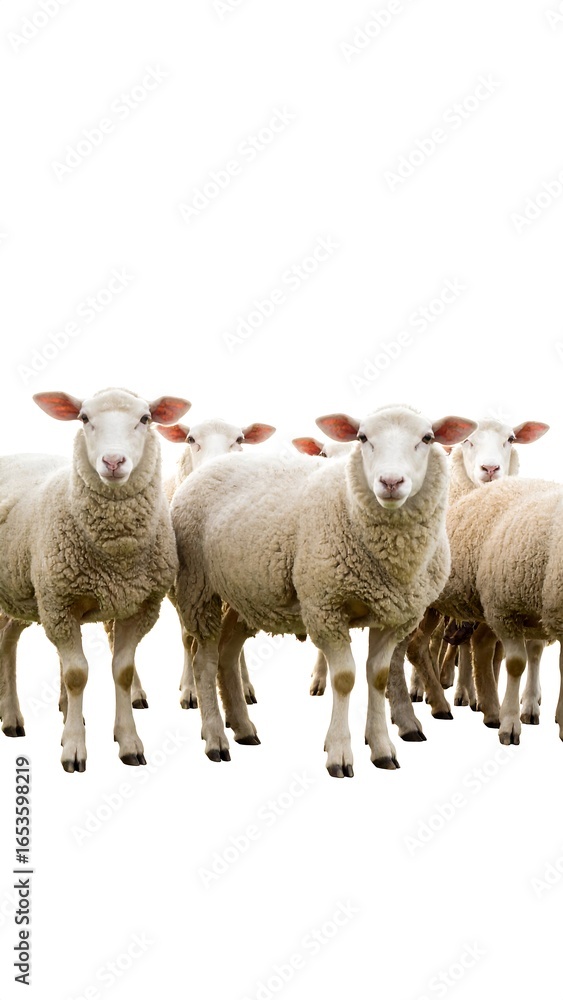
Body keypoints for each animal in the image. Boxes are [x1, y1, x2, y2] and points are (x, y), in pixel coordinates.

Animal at [0, 388, 190, 771]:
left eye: (145, 418)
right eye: (84, 418)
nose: (113, 461)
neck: (116, 555)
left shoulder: (140, 607)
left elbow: (123, 671)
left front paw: (129, 742)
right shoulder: (59, 603)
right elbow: (76, 674)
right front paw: (74, 747)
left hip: (26, 594)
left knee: (8, 639)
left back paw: (19, 716)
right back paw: (12, 715)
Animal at [171, 405, 476, 776]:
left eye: (427, 438)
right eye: (363, 437)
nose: (390, 482)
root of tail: (207, 468)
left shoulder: (393, 617)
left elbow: (378, 676)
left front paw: (382, 748)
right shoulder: (325, 606)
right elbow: (344, 678)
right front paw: (340, 754)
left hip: (246, 595)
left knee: (227, 656)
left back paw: (243, 728)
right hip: (198, 588)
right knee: (204, 660)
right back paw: (216, 737)